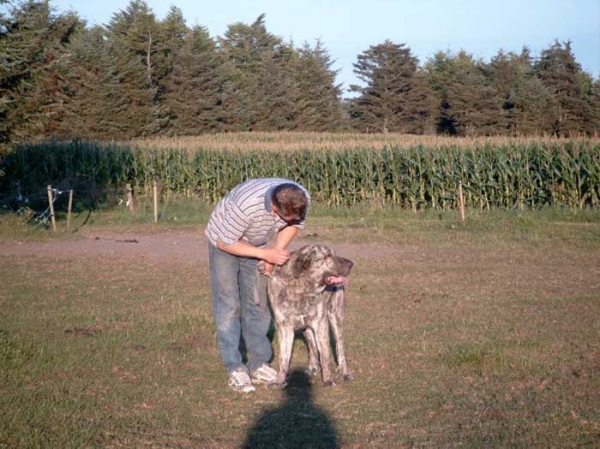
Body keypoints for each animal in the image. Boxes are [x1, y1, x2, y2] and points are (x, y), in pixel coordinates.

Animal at [262, 243, 352, 386]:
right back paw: (313, 368)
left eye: (334, 253)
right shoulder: (284, 328)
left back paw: (344, 372)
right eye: (327, 256)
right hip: (307, 328)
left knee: (339, 346)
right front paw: (279, 380)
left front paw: (327, 380)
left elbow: (325, 355)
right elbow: (283, 357)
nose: (351, 263)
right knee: (312, 345)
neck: (300, 288)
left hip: (336, 317)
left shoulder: (320, 323)